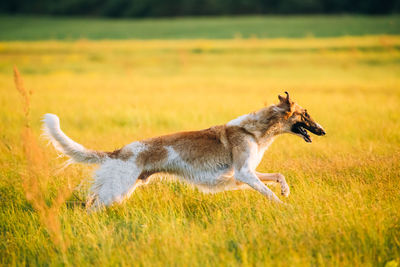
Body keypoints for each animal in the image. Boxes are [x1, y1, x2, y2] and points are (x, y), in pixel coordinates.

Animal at [43, 92, 324, 209]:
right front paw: (284, 206)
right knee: (90, 207)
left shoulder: (241, 176)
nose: (323, 131)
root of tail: (118, 152)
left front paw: (286, 191)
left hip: (120, 190)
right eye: (305, 114)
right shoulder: (244, 174)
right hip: (116, 190)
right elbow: (269, 193)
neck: (253, 130)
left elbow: (278, 177)